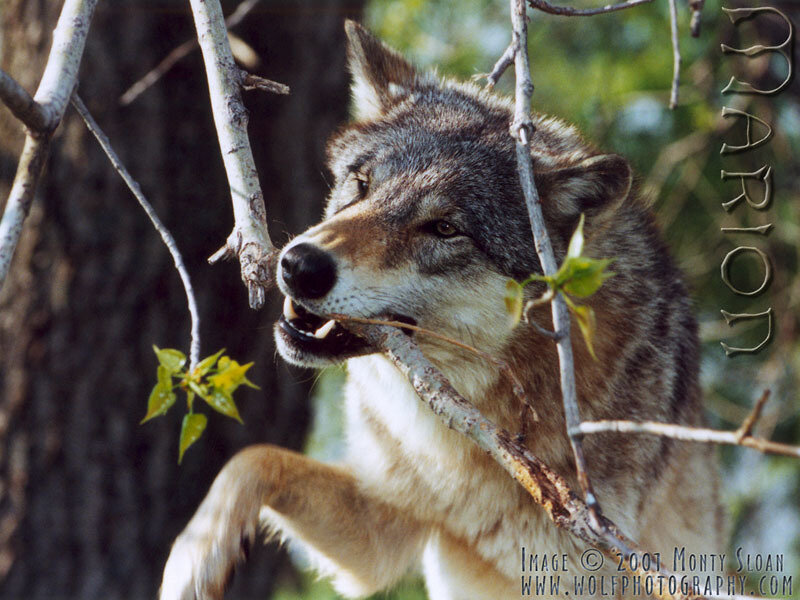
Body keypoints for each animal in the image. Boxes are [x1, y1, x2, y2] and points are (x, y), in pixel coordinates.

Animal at [160, 21, 724, 600]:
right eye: (362, 185)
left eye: (444, 229)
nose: (299, 265)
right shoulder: (383, 528)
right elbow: (252, 458)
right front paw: (194, 555)